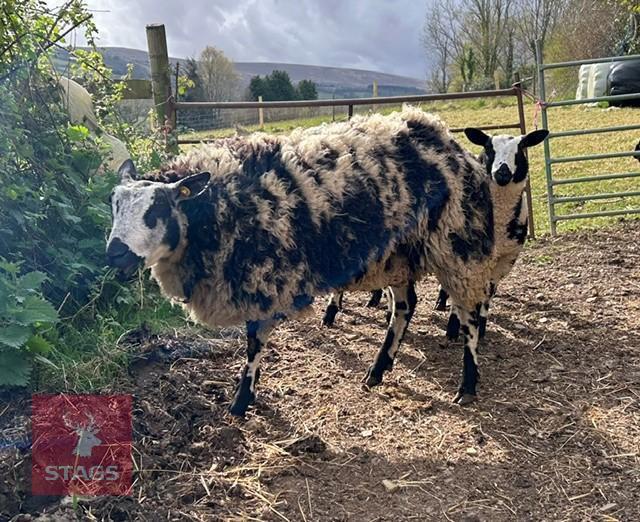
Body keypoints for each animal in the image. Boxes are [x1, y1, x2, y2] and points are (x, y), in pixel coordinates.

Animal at [105, 106, 548, 415]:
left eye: (156, 209)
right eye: (114, 204)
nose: (114, 254)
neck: (216, 206)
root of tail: (449, 143)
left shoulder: (263, 278)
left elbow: (253, 344)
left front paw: (242, 400)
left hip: (458, 248)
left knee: (470, 317)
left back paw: (467, 385)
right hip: (399, 255)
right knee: (405, 308)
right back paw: (378, 370)